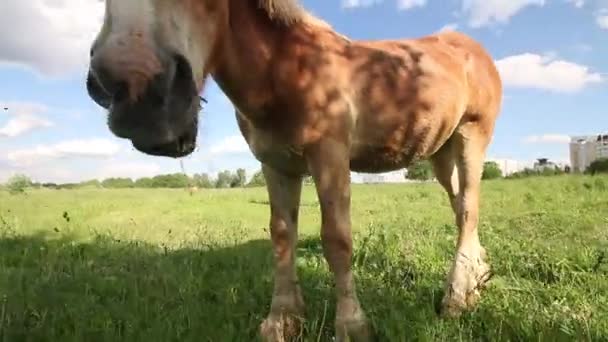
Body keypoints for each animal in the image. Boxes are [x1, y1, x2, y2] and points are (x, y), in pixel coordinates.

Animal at [85, 1, 504, 340]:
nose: (134, 91)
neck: (287, 70)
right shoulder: (276, 164)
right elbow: (282, 235)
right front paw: (283, 321)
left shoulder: (329, 156)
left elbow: (336, 238)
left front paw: (352, 325)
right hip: (440, 152)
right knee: (461, 208)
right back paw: (477, 276)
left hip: (471, 136)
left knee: (468, 207)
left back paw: (456, 298)